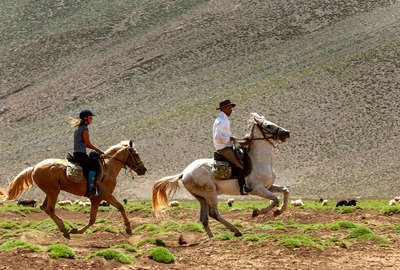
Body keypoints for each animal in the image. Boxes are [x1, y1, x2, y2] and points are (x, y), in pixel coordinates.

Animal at [0, 139, 147, 238]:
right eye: (136, 154)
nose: (143, 170)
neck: (108, 168)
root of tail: (34, 167)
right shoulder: (105, 195)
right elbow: (120, 207)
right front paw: (128, 228)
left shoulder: (95, 199)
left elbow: (92, 219)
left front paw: (77, 230)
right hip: (53, 191)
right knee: (50, 209)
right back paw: (64, 230)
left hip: (50, 191)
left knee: (44, 207)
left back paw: (64, 229)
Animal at [152, 113, 290, 237]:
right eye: (268, 125)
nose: (287, 133)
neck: (259, 161)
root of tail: (184, 173)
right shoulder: (257, 189)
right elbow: (275, 199)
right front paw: (257, 212)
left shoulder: (268, 186)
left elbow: (285, 191)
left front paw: (278, 212)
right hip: (210, 193)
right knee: (213, 214)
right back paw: (235, 230)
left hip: (201, 197)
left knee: (204, 218)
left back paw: (212, 237)